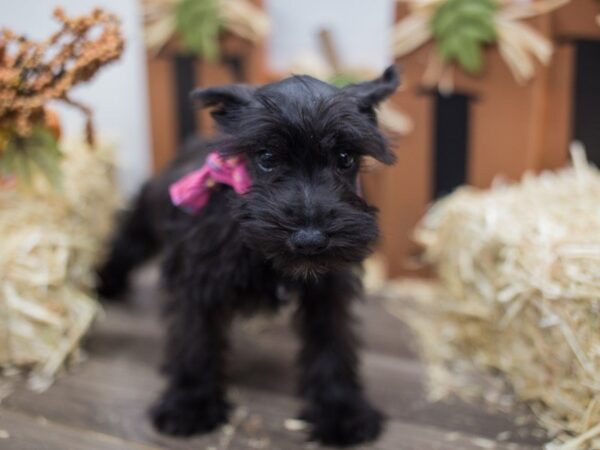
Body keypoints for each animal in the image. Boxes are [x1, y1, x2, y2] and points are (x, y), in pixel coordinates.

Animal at [97, 66, 398, 446]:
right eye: (266, 158)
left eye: (345, 158)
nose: (310, 239)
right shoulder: (196, 284)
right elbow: (194, 342)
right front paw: (189, 404)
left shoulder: (328, 292)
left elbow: (332, 345)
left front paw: (342, 411)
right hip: (143, 218)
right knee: (125, 243)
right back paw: (103, 283)